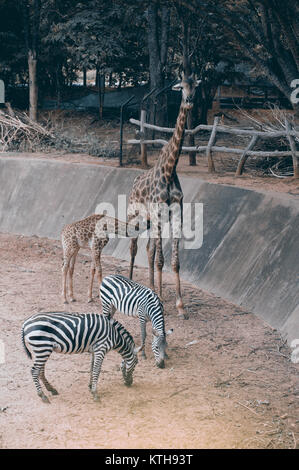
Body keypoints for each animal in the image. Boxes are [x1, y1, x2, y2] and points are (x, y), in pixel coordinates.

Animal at [127, 73, 200, 318]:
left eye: (195, 86)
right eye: (181, 87)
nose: (189, 100)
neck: (169, 170)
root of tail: (134, 182)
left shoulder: (176, 214)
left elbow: (173, 261)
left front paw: (180, 306)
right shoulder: (159, 214)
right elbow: (160, 259)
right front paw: (161, 300)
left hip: (149, 221)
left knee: (148, 249)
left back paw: (150, 287)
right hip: (135, 216)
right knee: (134, 246)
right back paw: (130, 282)